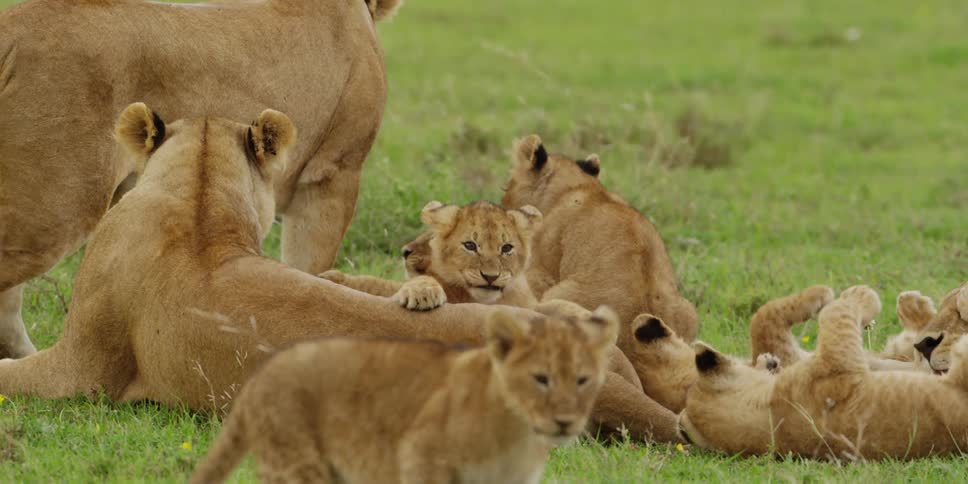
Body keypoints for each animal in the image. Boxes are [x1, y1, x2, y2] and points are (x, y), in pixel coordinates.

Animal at [189, 306, 618, 483]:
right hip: (297, 465)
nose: (565, 423)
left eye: (582, 380)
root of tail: (262, 374)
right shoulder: (420, 456)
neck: (516, 435)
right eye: (541, 379)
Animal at [680, 286, 968, 459]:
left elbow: (763, 317)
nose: (770, 362)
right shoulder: (836, 362)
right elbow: (835, 313)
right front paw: (858, 294)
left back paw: (919, 307)